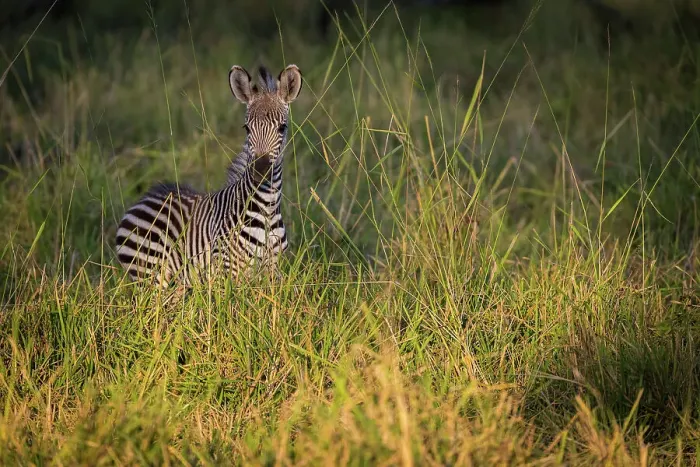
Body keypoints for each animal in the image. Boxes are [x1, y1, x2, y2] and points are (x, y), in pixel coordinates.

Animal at [115, 64, 303, 287]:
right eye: (247, 128)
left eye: (282, 128)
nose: (260, 170)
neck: (268, 207)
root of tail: (145, 197)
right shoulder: (228, 270)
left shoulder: (272, 271)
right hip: (150, 275)